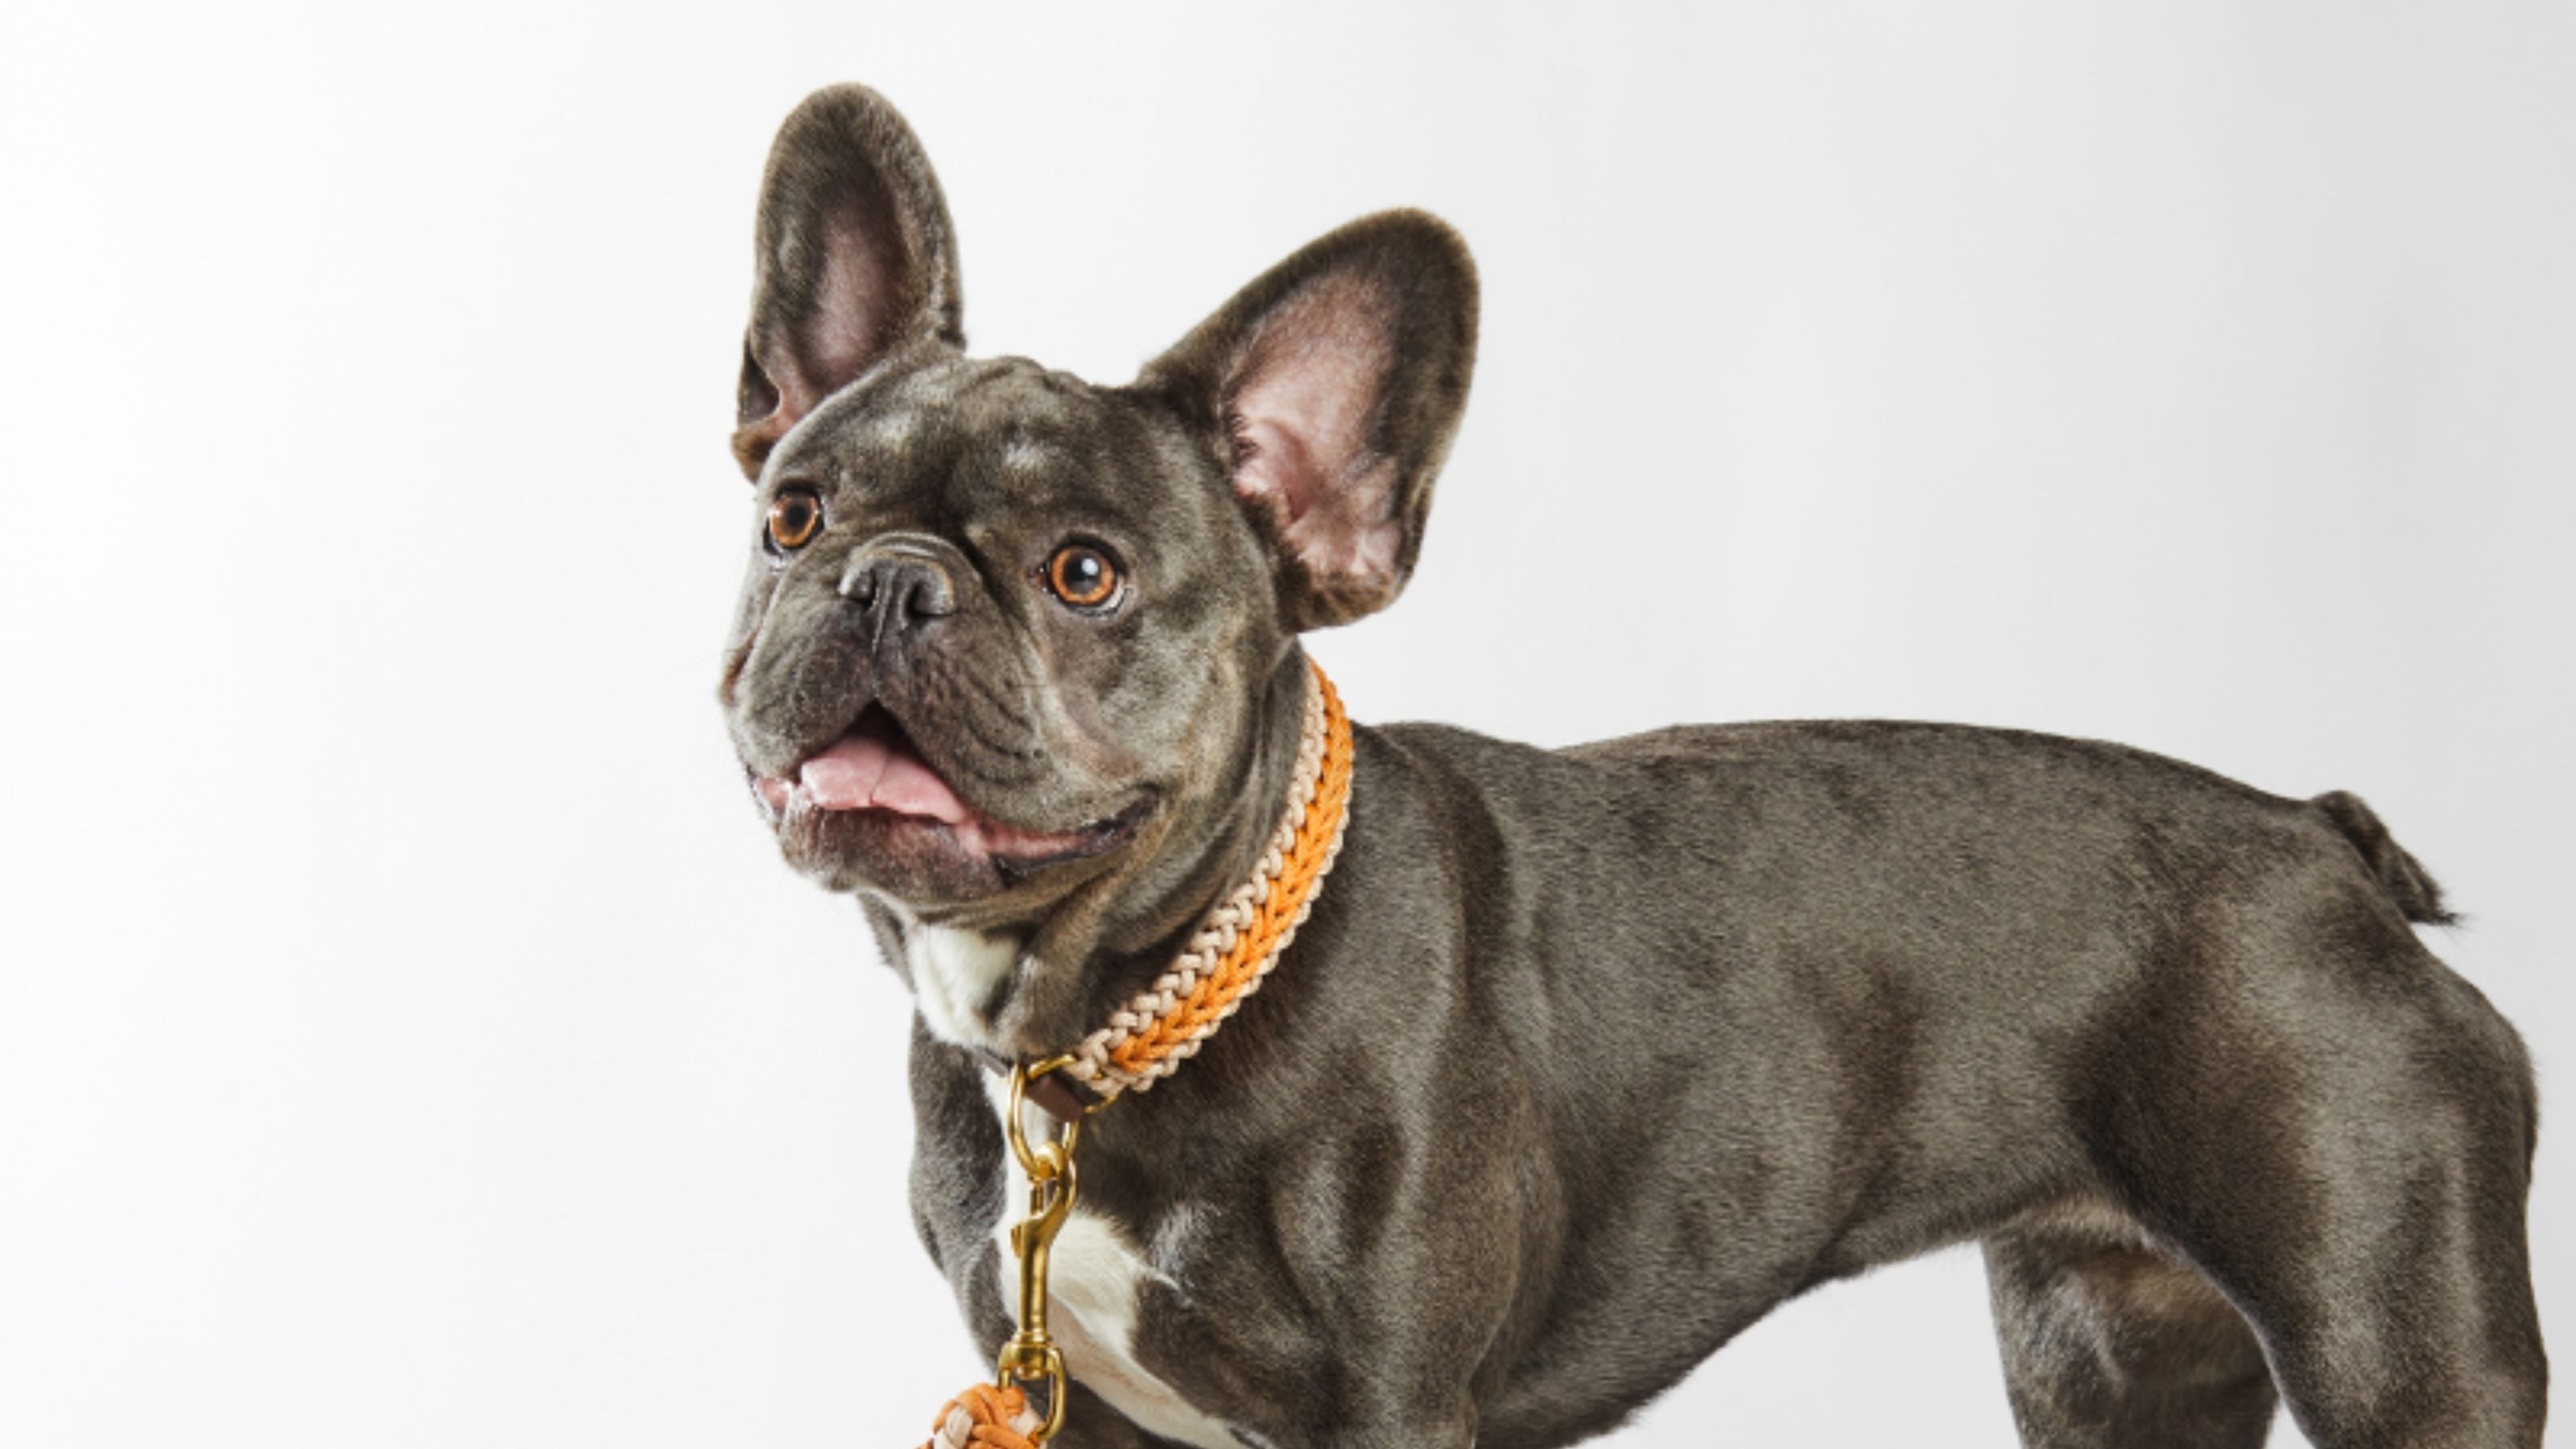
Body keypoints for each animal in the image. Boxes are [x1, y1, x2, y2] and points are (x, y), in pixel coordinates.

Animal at [717, 85, 2546, 1448]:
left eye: (1083, 572)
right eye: (791, 517)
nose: (887, 581)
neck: (1100, 1022)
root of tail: (2320, 844)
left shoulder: (1389, 1404)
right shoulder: (1080, 1404)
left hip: (2406, 1349)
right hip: (2105, 1349)